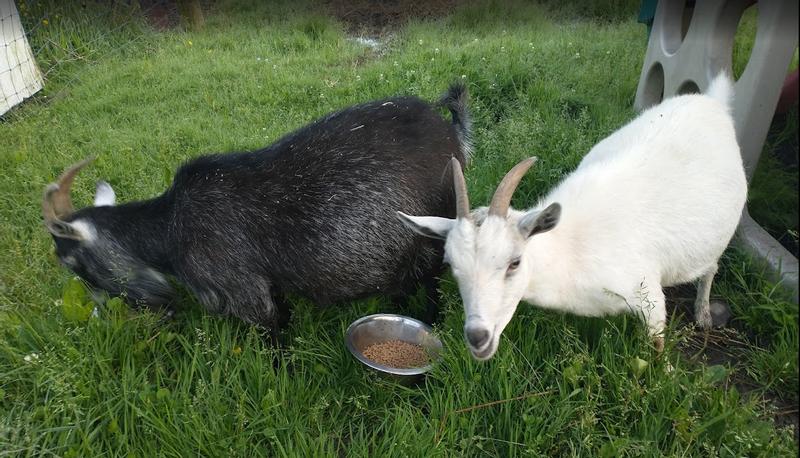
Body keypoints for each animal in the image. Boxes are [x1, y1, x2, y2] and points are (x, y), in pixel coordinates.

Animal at [43, 84, 471, 331]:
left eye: (71, 262)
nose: (98, 313)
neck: (170, 228)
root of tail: (451, 131)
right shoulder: (269, 285)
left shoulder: (243, 290)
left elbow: (273, 333)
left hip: (433, 231)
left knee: (433, 279)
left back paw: (431, 320)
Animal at [398, 74, 747, 360]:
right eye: (451, 265)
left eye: (515, 262)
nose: (477, 337)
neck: (571, 249)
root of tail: (711, 101)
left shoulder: (648, 296)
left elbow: (657, 344)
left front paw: (666, 376)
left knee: (710, 268)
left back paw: (703, 314)